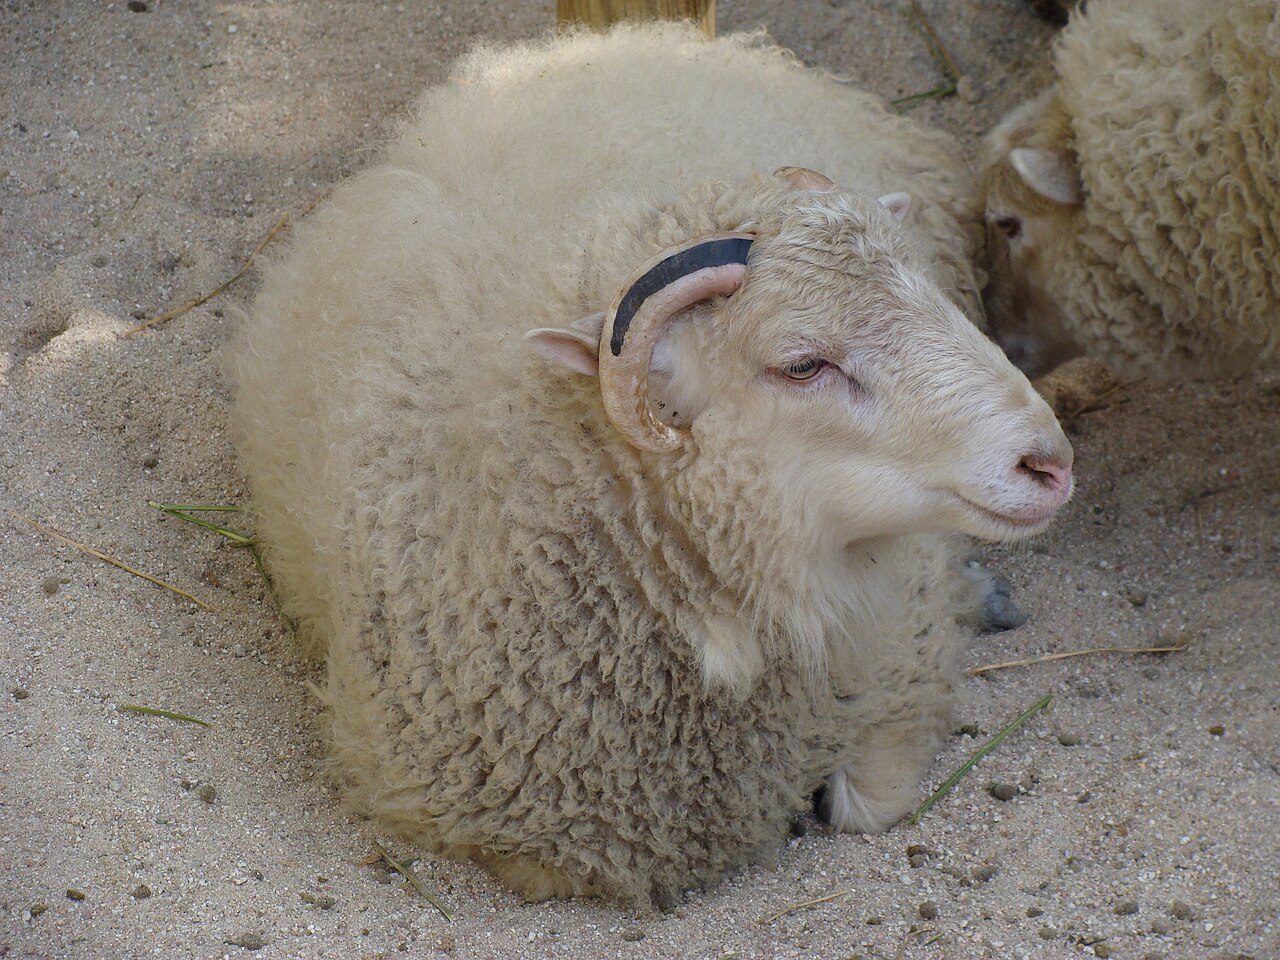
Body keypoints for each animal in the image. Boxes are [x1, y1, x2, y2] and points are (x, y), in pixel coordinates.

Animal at [228, 24, 1074, 906]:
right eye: (802, 364)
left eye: (931, 296)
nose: (1047, 463)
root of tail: (615, 42)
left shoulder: (898, 670)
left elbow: (872, 799)